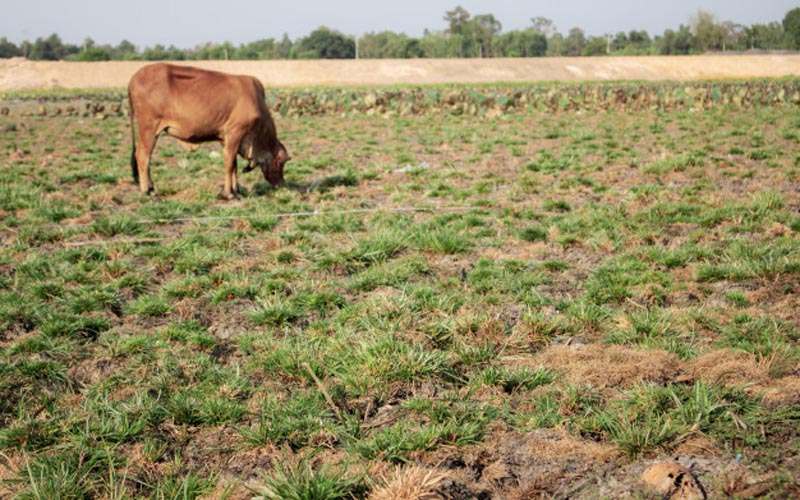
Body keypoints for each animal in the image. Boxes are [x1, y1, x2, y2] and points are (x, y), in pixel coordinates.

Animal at [125, 64, 288, 199]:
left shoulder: (226, 138)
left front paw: (236, 191)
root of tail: (133, 78)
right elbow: (229, 163)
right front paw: (228, 194)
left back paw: (151, 188)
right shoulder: (235, 131)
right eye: (282, 162)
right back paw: (147, 191)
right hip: (149, 128)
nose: (282, 184)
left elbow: (233, 164)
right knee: (143, 156)